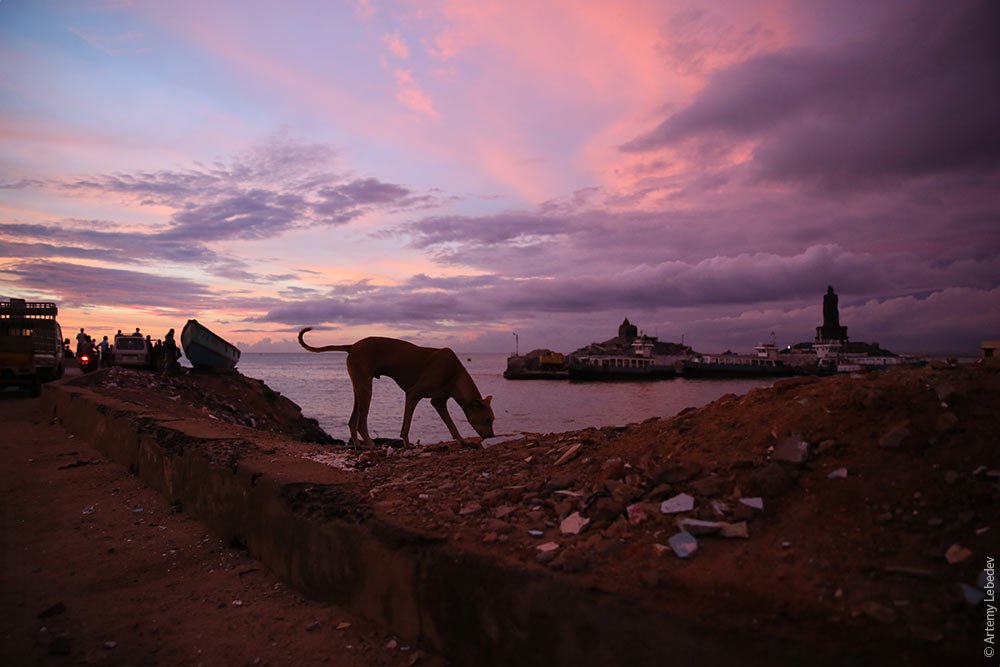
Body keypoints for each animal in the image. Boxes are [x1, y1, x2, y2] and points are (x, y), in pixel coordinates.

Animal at [298, 328, 498, 448]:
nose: (492, 436)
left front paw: (463, 442)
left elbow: (452, 426)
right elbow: (406, 426)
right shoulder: (413, 395)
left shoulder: (439, 402)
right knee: (361, 423)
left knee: (352, 421)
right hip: (366, 388)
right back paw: (372, 446)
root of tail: (352, 346)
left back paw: (358, 447)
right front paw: (408, 445)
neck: (454, 372)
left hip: (359, 388)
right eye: (488, 419)